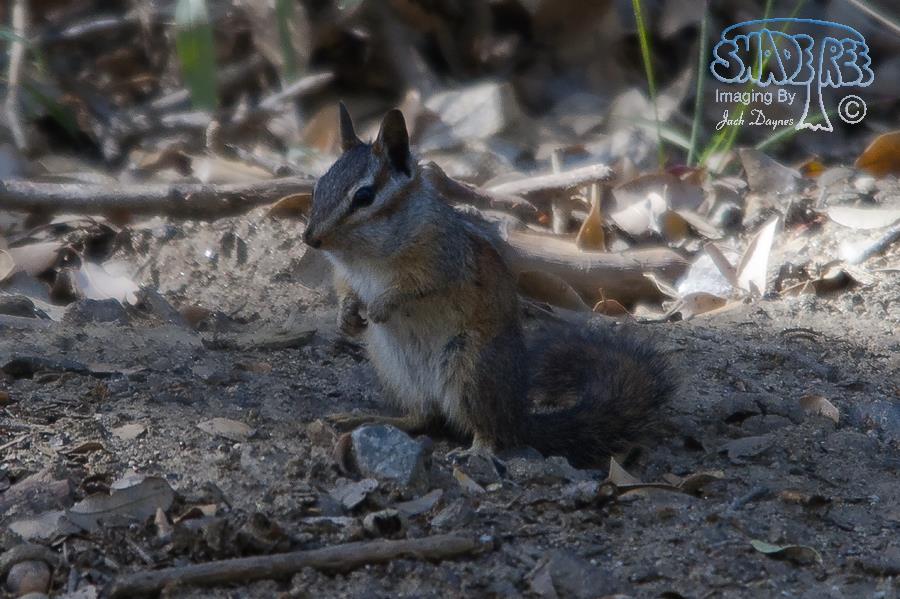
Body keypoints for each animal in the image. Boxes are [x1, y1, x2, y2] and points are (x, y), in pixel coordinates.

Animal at [302, 103, 676, 468]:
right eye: (319, 186)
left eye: (364, 196)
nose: (310, 239)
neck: (364, 254)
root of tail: (517, 416)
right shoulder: (346, 273)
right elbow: (344, 289)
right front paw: (346, 316)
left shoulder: (439, 259)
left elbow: (414, 286)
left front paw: (381, 306)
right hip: (394, 368)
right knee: (422, 418)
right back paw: (367, 418)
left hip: (471, 368)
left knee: (487, 429)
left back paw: (477, 451)